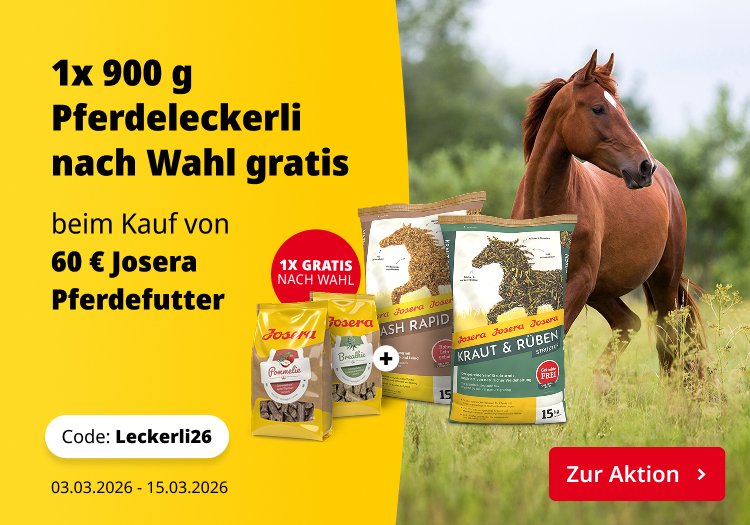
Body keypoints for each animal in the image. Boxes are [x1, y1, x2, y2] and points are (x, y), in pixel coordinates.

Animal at [511, 50, 705, 391]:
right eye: (598, 108)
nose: (644, 167)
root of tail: (667, 183)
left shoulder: (578, 282)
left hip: (662, 282)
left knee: (669, 341)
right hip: (603, 291)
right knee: (629, 323)